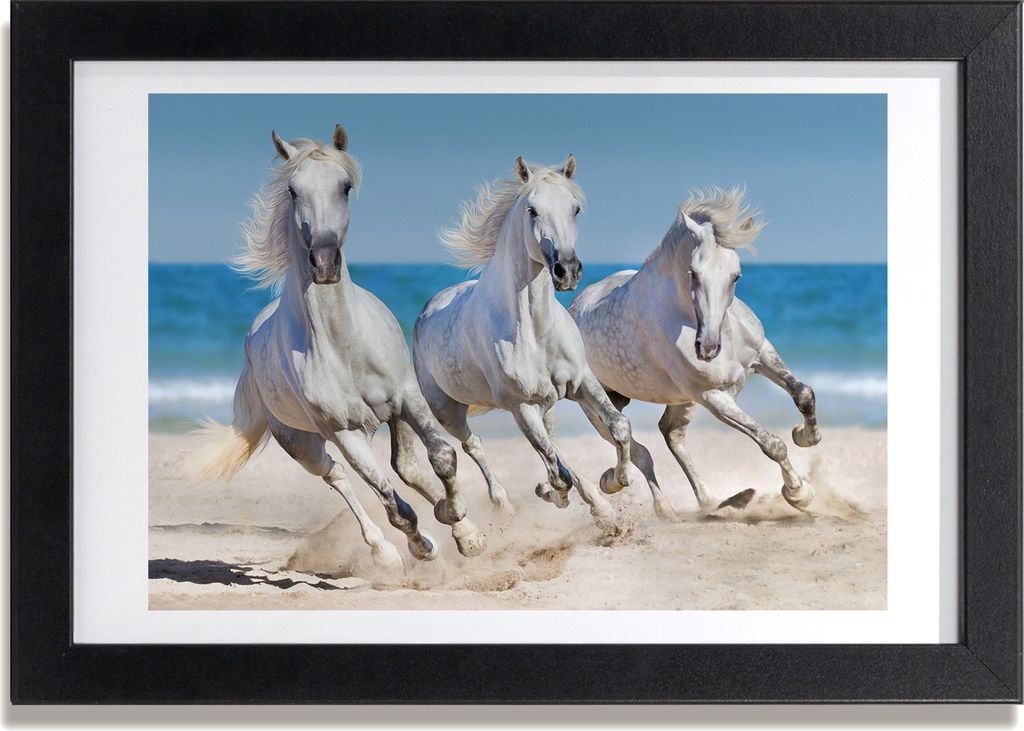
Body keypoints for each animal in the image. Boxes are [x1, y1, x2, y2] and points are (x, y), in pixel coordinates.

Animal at [180, 125, 486, 569]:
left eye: (345, 187)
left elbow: (442, 457)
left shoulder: (407, 398)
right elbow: (392, 503)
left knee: (405, 467)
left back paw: (449, 518)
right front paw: (421, 546)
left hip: (389, 418)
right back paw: (384, 551)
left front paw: (466, 532)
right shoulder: (343, 431)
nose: (324, 263)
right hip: (303, 443)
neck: (344, 345)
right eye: (293, 190)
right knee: (337, 475)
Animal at [413, 155, 638, 533]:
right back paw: (503, 504)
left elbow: (618, 428)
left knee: (553, 444)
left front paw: (611, 483)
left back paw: (597, 505)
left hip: (546, 404)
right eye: (532, 210)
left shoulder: (582, 382)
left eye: (575, 208)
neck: (535, 330)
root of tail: (428, 308)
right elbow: (557, 471)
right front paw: (558, 494)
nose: (567, 271)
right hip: (449, 411)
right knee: (475, 445)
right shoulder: (521, 406)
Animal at [569, 187, 820, 519]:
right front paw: (799, 494)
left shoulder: (763, 354)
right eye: (694, 273)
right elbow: (771, 443)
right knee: (636, 449)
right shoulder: (712, 397)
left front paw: (805, 436)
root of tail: (574, 307)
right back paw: (635, 494)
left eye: (736, 276)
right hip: (598, 403)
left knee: (671, 434)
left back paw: (712, 501)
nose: (708, 348)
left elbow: (803, 394)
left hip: (677, 400)